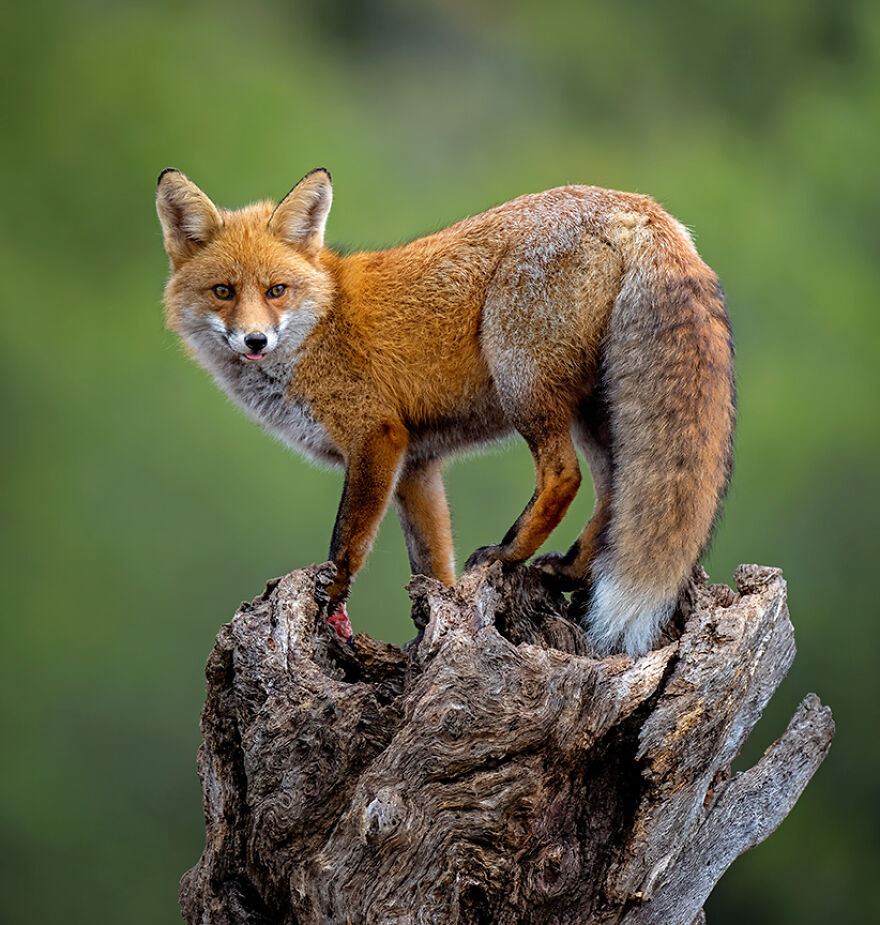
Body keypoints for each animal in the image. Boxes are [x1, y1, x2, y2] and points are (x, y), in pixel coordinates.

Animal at [156, 167, 735, 655]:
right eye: (223, 291)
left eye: (277, 290)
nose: (254, 340)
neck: (321, 323)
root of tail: (635, 204)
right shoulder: (416, 466)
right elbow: (433, 567)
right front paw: (430, 631)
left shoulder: (376, 437)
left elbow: (346, 541)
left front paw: (333, 601)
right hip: (594, 405)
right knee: (615, 490)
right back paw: (571, 569)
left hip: (523, 381)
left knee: (564, 476)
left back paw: (508, 554)